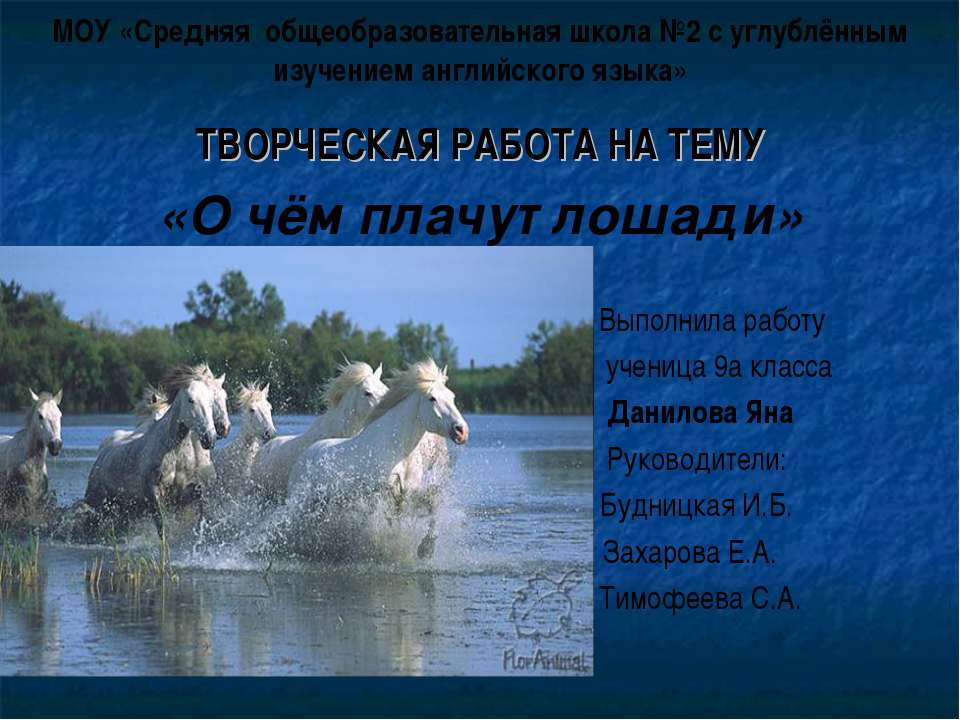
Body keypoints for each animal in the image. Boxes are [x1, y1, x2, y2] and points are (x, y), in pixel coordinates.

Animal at [84, 375, 218, 537]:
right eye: (191, 400)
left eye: (211, 401)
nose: (209, 438)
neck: (173, 454)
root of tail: (103, 452)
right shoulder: (153, 494)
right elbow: (161, 528)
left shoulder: (180, 495)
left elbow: (200, 497)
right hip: (102, 505)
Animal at [287, 359, 468, 556]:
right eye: (432, 398)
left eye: (452, 397)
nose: (461, 431)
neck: (398, 452)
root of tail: (305, 454)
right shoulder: (381, 495)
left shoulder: (407, 494)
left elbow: (433, 504)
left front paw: (425, 549)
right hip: (305, 501)